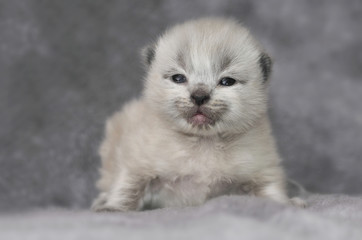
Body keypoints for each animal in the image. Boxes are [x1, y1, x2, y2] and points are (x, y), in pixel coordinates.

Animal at [91, 17, 306, 211]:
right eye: (178, 78)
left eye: (227, 82)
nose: (199, 96)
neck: (204, 143)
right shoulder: (137, 163)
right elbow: (128, 186)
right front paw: (113, 208)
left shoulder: (261, 170)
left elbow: (271, 191)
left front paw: (288, 203)